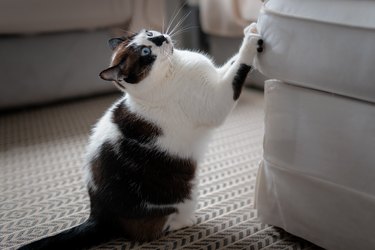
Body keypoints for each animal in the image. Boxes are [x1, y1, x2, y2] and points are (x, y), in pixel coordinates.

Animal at [19, 22, 262, 249]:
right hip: (182, 197)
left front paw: (250, 29)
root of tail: (98, 213)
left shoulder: (217, 76)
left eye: (149, 33)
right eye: (145, 52)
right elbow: (239, 68)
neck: (173, 67)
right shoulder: (216, 101)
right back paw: (186, 221)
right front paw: (251, 41)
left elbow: (231, 63)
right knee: (156, 228)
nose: (160, 38)